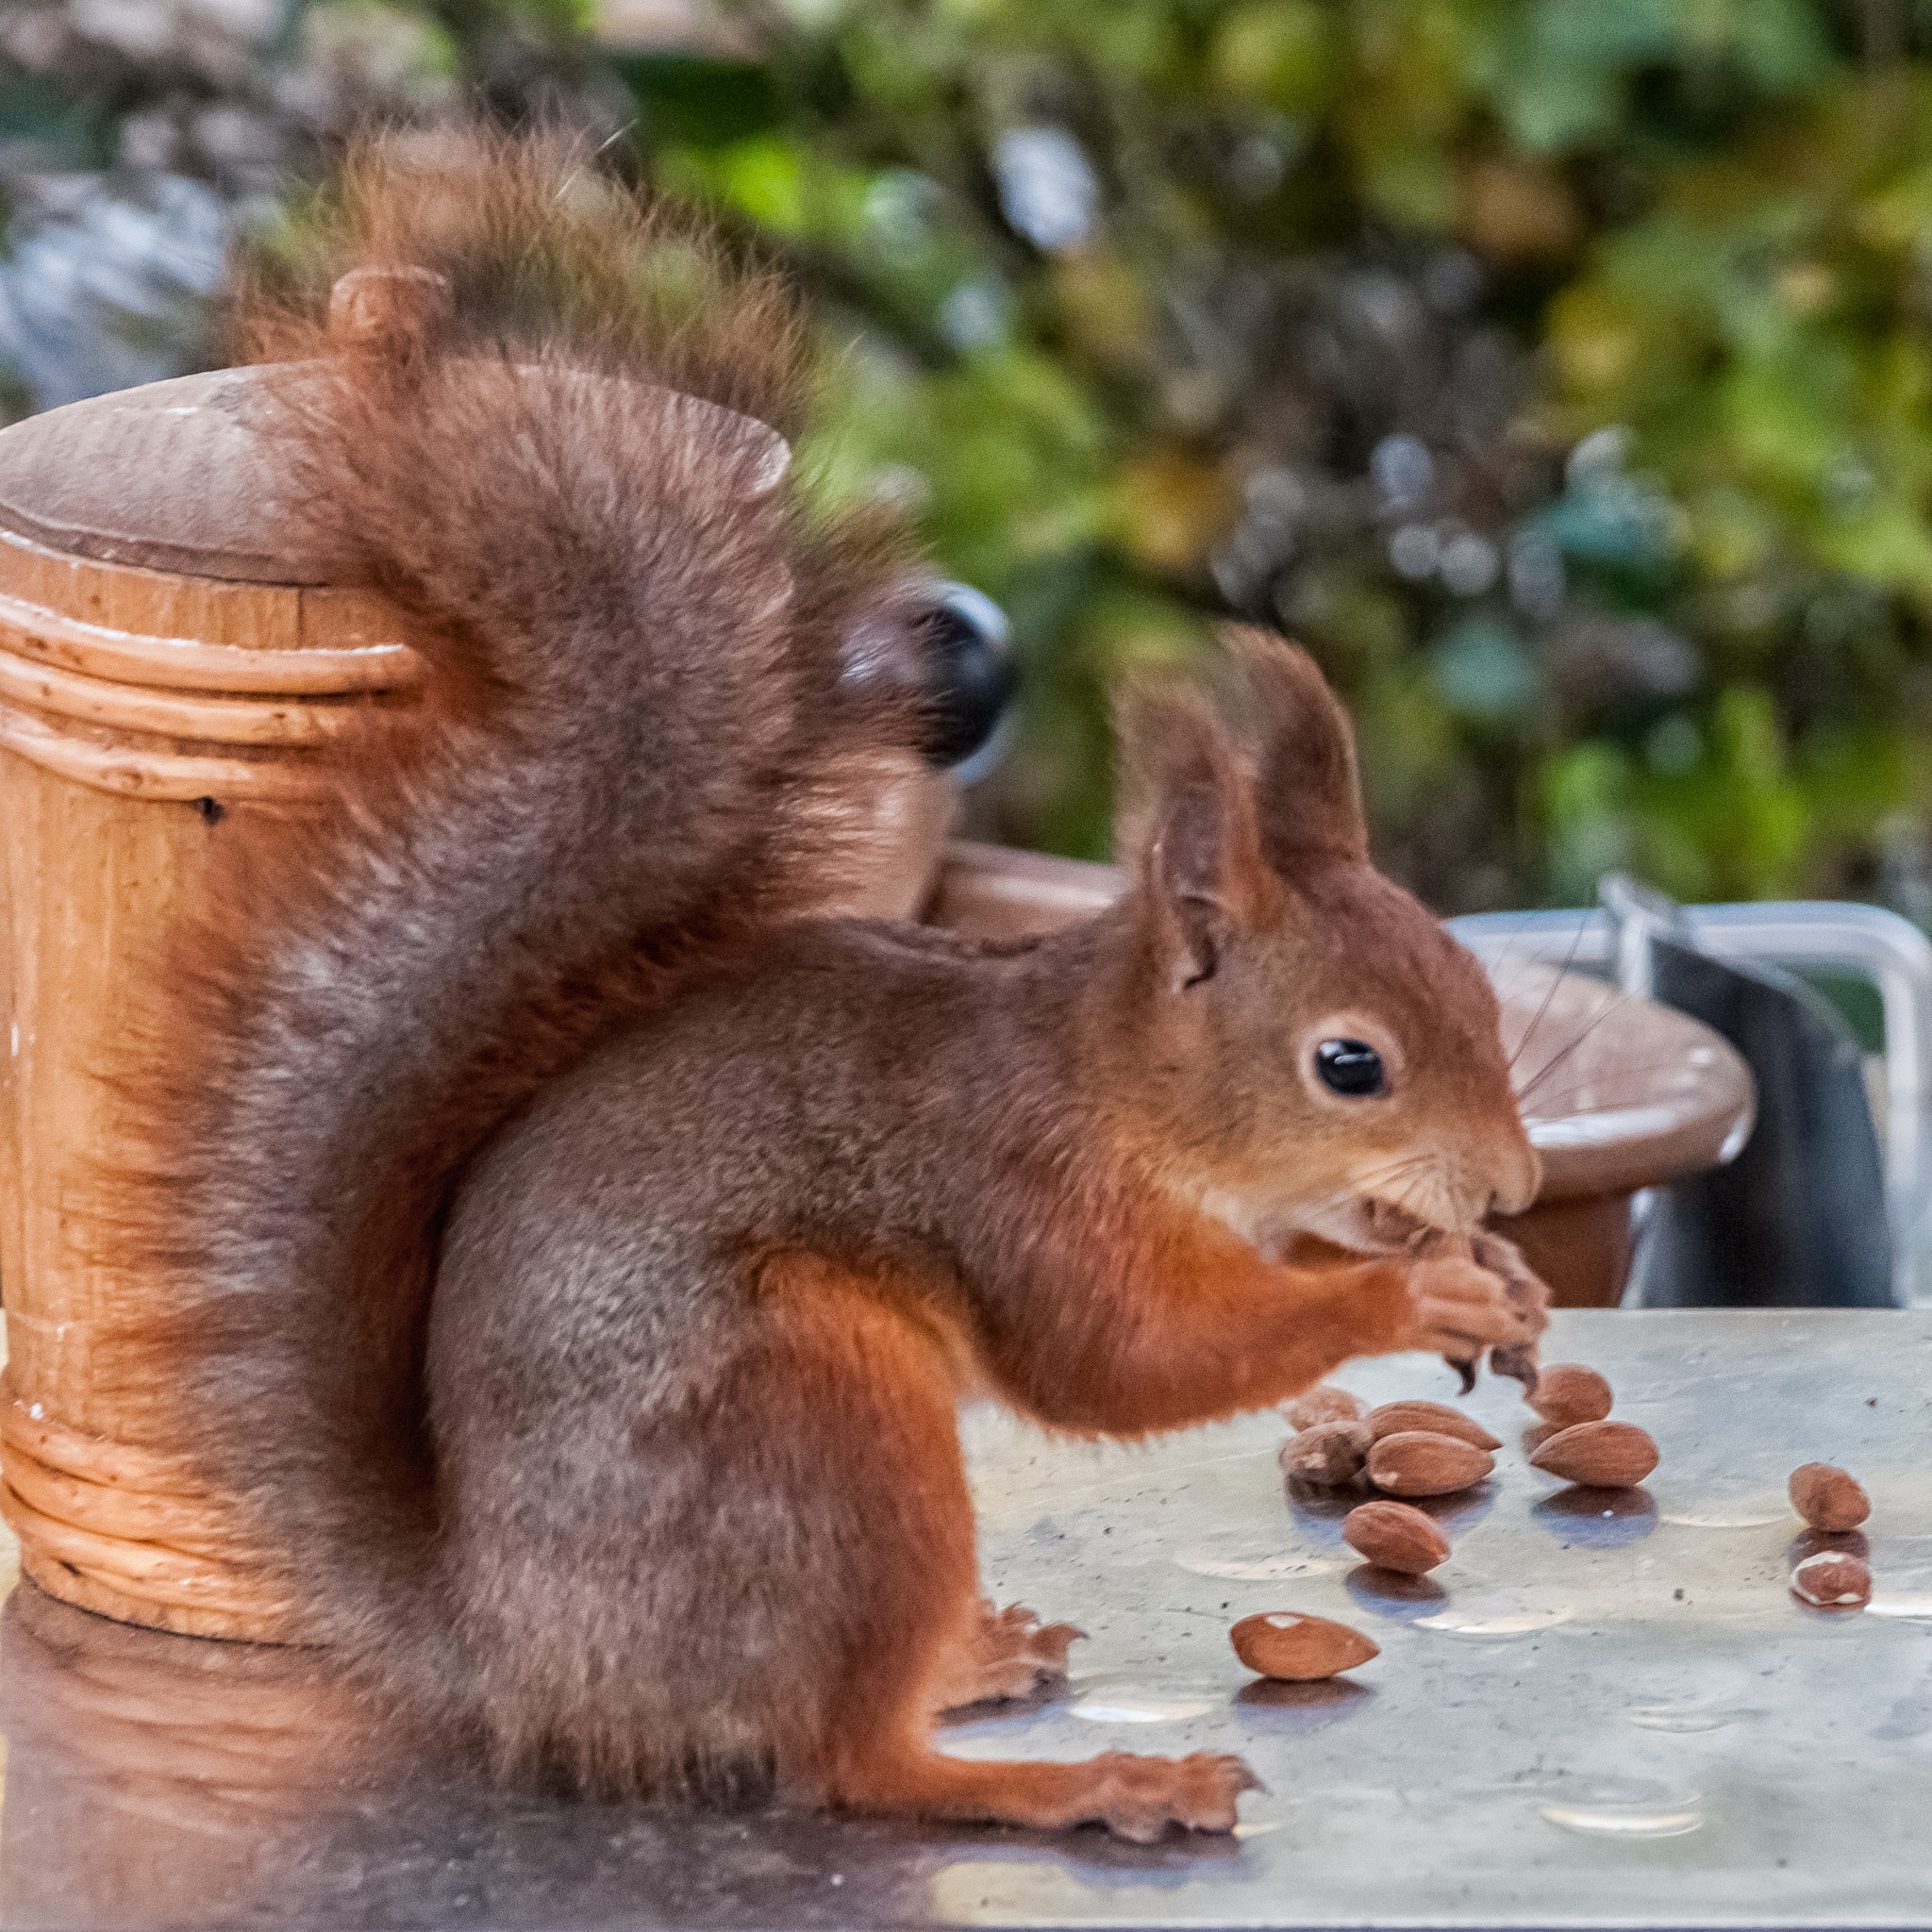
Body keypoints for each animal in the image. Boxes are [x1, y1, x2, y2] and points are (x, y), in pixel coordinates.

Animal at [109, 132, 1553, 1839]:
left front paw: (1496, 1276)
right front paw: (1411, 1288)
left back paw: (985, 1664)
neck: (1114, 1083)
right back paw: (1086, 1776)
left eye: (1475, 986)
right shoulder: (1013, 1188)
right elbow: (1121, 1363)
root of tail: (517, 1650)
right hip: (818, 1426)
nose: (1518, 1183)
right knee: (849, 1762)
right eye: (1349, 1064)